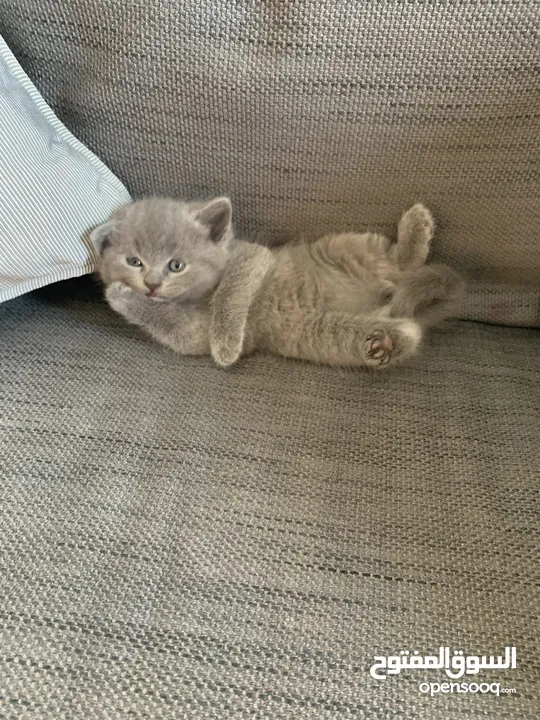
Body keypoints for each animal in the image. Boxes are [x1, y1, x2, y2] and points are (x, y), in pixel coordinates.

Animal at [89, 198, 464, 372]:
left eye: (176, 265)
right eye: (134, 261)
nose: (151, 284)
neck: (198, 298)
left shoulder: (252, 255)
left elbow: (231, 292)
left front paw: (226, 344)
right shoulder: (191, 335)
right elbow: (175, 326)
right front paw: (121, 294)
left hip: (348, 248)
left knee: (403, 262)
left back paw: (417, 223)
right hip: (328, 336)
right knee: (404, 332)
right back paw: (383, 343)